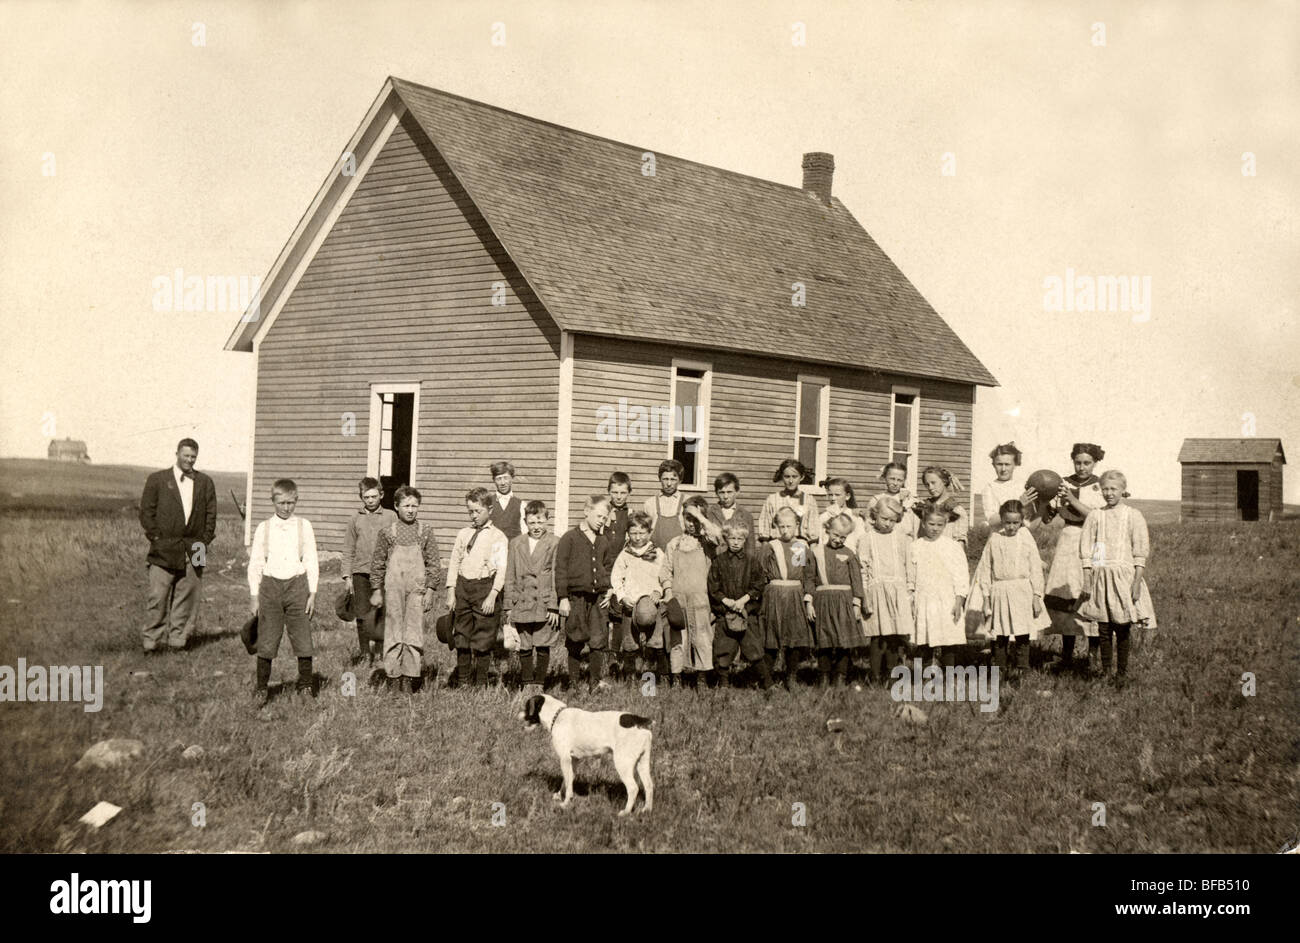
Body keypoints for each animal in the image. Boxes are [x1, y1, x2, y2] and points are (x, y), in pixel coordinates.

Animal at [520, 691, 655, 816]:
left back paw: (625, 812)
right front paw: (559, 795)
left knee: (633, 788)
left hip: (623, 763)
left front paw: (565, 803)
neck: (557, 716)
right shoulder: (573, 760)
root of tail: (638, 720)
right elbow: (567, 780)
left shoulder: (564, 759)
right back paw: (646, 809)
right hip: (642, 763)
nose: (518, 715)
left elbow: (567, 783)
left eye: (527, 706)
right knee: (649, 785)